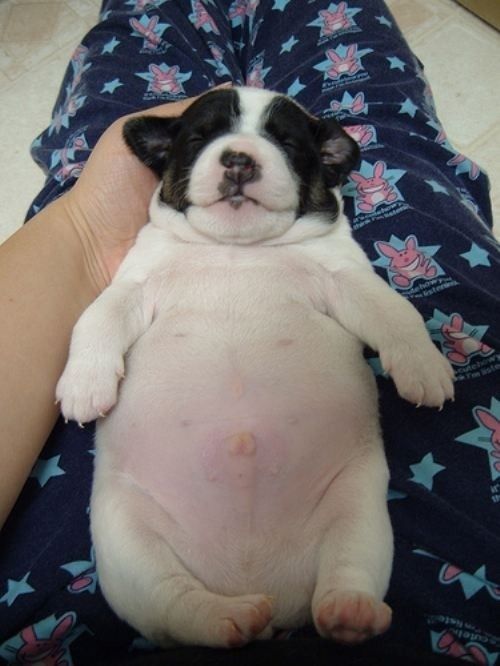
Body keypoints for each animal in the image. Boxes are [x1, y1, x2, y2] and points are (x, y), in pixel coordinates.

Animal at [56, 85, 456, 644]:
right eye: (199, 138)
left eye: (286, 143)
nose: (239, 158)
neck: (237, 248)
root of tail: (263, 590)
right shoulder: (135, 283)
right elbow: (95, 316)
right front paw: (85, 384)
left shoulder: (345, 278)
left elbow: (394, 310)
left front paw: (423, 365)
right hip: (125, 540)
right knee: (172, 603)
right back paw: (229, 619)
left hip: (359, 511)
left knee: (348, 566)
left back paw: (348, 612)